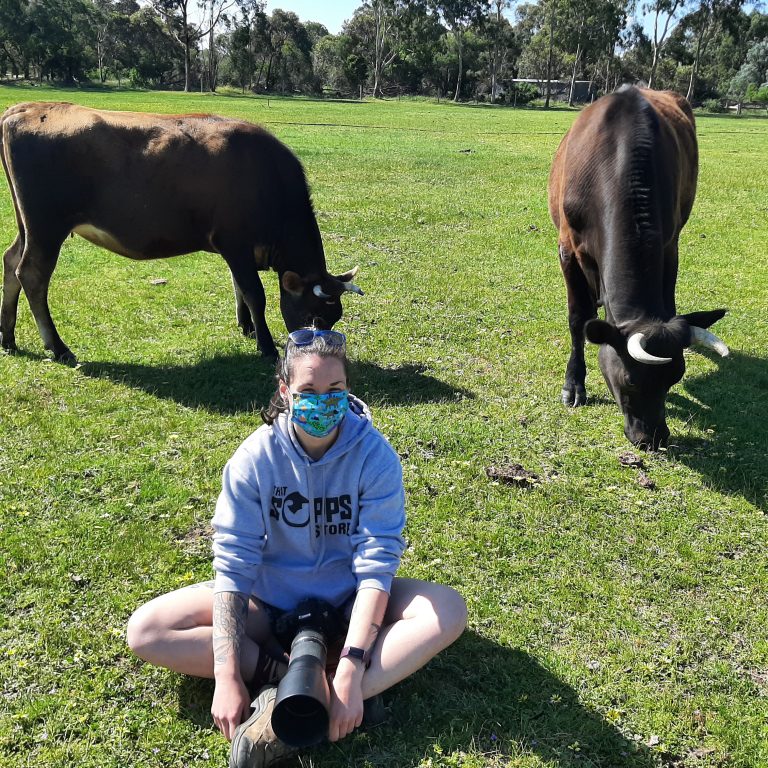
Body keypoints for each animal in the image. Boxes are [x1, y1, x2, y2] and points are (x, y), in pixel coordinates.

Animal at [0, 102, 362, 363]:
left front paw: (246, 328)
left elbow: (238, 289)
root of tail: (26, 108)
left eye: (335, 318)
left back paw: (8, 338)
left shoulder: (238, 251)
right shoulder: (235, 242)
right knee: (31, 274)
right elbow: (253, 293)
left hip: (28, 226)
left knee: (11, 261)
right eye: (314, 318)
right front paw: (265, 345)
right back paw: (58, 347)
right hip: (47, 227)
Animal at [548, 86, 729, 450]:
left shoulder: (669, 243)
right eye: (630, 381)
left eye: (676, 377)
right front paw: (573, 385)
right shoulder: (567, 248)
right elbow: (577, 318)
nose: (653, 439)